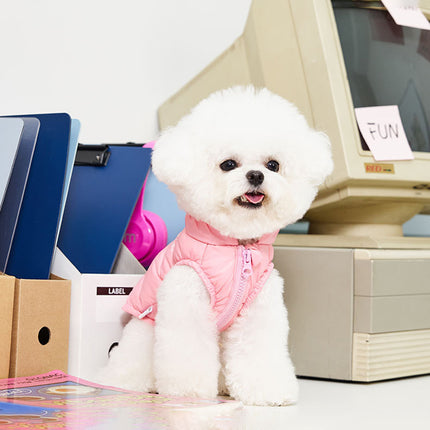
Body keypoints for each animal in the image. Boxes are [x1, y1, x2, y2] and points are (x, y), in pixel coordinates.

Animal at [97, 86, 332, 406]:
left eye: (273, 165)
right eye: (228, 164)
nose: (256, 175)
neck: (237, 248)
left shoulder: (258, 308)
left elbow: (258, 351)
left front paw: (267, 390)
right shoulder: (186, 298)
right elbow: (189, 351)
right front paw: (189, 393)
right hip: (143, 335)